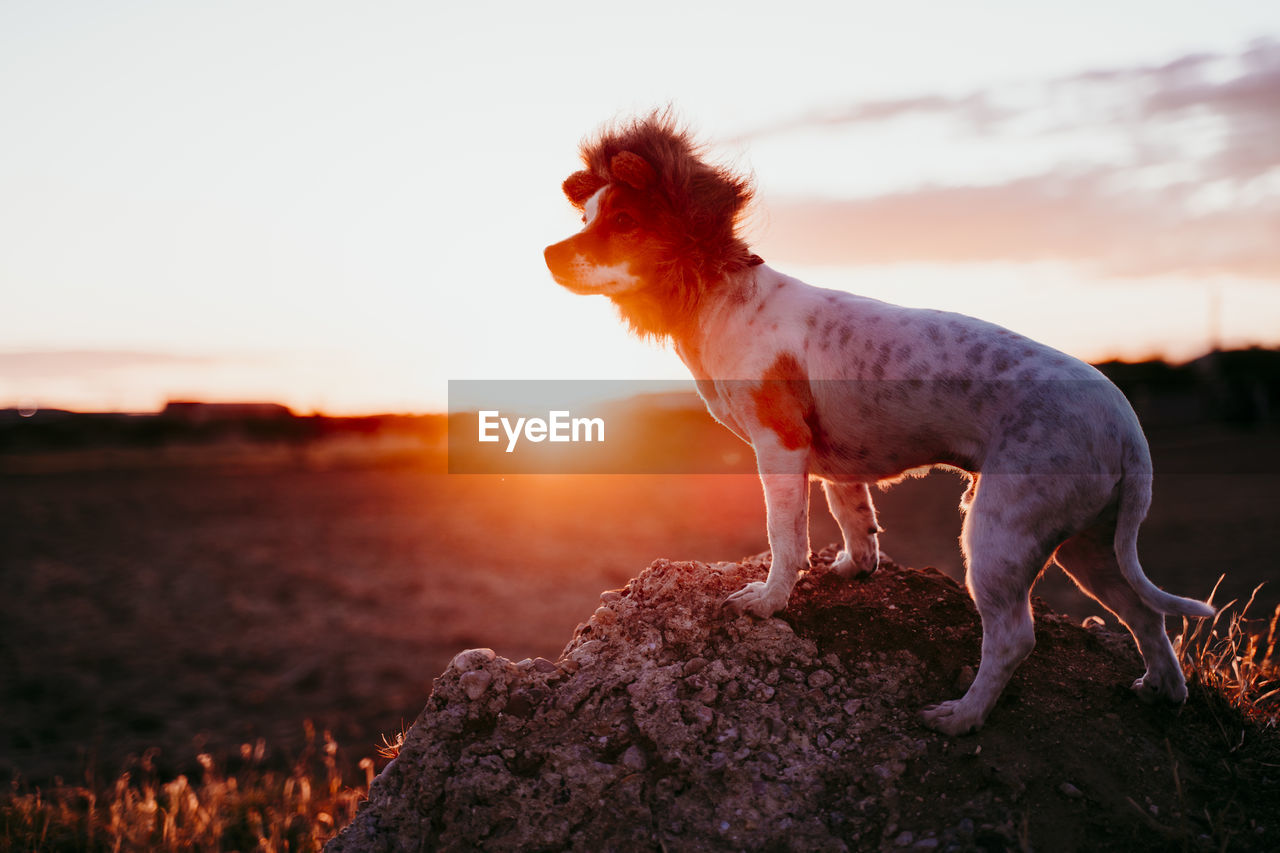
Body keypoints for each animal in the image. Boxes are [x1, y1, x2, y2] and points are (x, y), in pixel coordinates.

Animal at [537, 111, 1208, 732]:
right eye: (586, 217)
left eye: (625, 222)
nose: (548, 253)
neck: (718, 295)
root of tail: (1127, 426)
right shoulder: (832, 461)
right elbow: (853, 516)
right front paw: (854, 568)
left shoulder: (779, 446)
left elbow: (786, 535)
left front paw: (769, 601)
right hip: (1090, 541)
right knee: (1146, 614)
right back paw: (1163, 691)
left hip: (1000, 531)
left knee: (1015, 635)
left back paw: (962, 718)